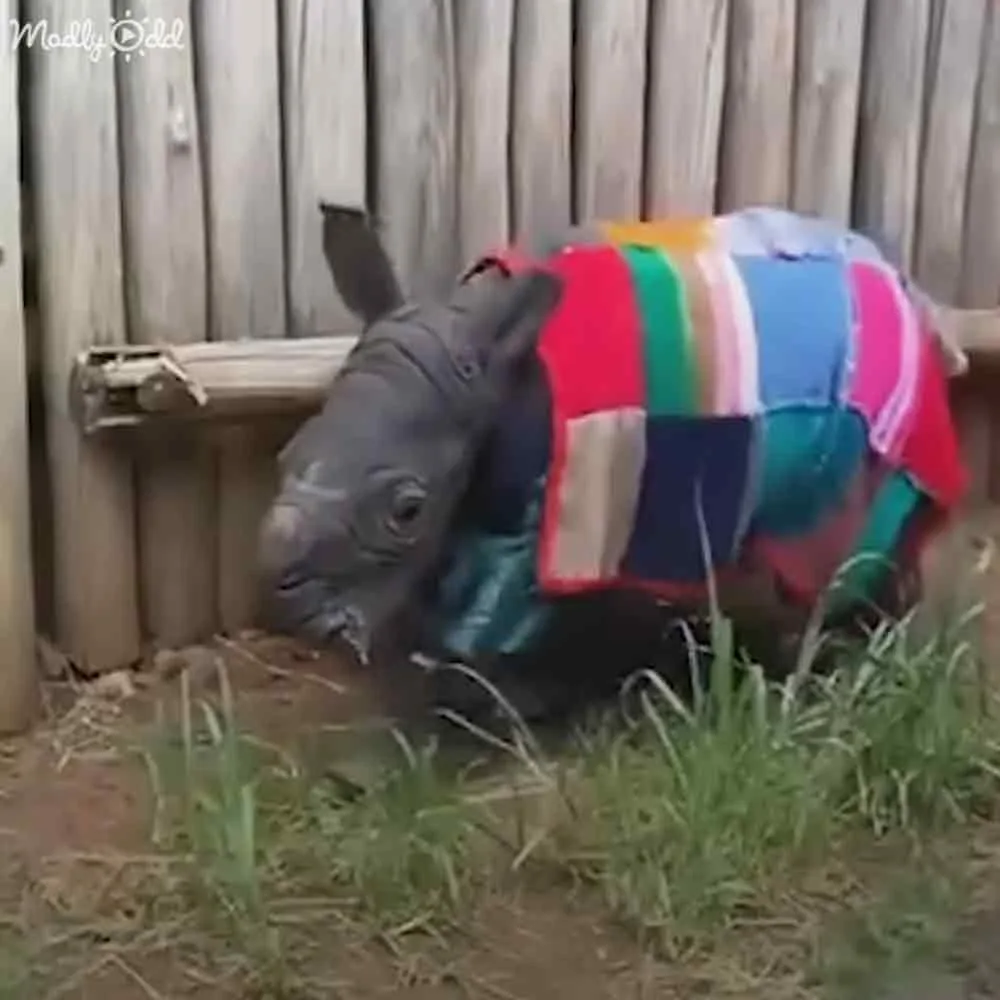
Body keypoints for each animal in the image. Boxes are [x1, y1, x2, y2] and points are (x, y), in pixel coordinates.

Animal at [258, 203, 987, 720]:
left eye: (407, 511)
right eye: (287, 455)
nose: (288, 606)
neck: (486, 365)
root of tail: (916, 295)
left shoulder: (567, 506)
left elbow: (509, 605)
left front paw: (505, 703)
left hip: (881, 421)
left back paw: (827, 674)